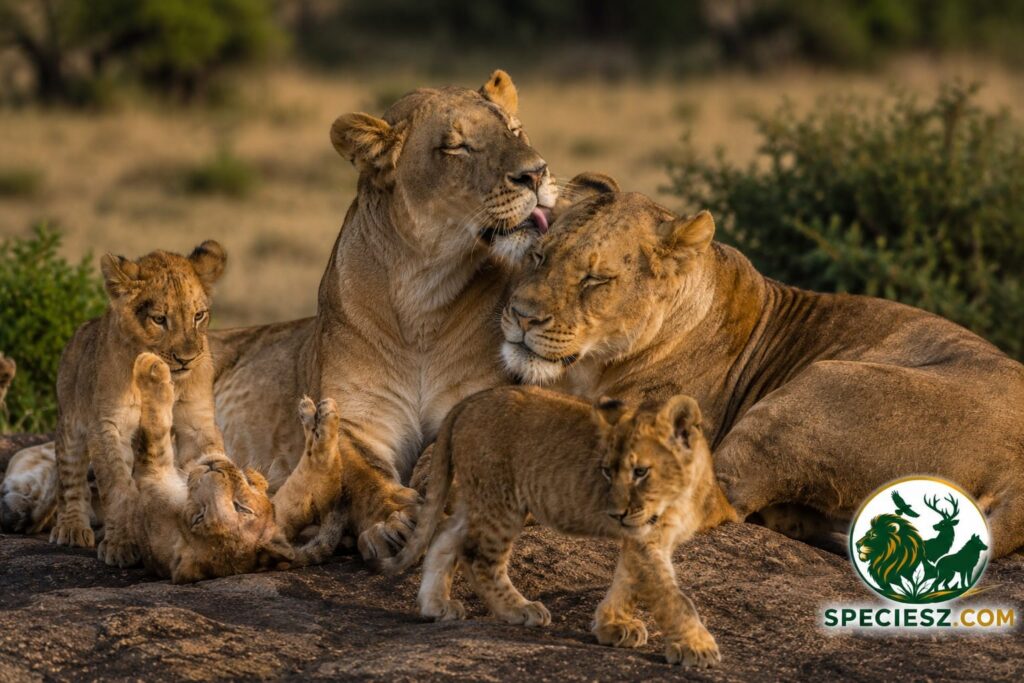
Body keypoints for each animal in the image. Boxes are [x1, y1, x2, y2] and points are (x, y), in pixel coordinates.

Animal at [47, 241, 228, 566]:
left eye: (198, 316)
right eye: (159, 319)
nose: (187, 359)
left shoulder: (195, 421)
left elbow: (207, 460)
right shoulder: (109, 425)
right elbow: (118, 487)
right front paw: (121, 544)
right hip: (70, 425)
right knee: (69, 479)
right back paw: (71, 527)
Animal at [384, 386, 736, 668]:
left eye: (640, 472)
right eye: (607, 471)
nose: (615, 514)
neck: (682, 492)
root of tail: (472, 399)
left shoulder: (643, 537)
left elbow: (627, 581)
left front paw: (612, 626)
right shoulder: (646, 538)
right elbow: (672, 598)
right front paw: (696, 648)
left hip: (479, 496)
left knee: (446, 534)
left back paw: (435, 606)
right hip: (503, 500)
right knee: (479, 558)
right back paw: (519, 608)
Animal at [501, 189, 1024, 557]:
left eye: (595, 279)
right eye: (539, 256)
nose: (521, 316)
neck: (591, 367)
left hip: (820, 384)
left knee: (712, 501)